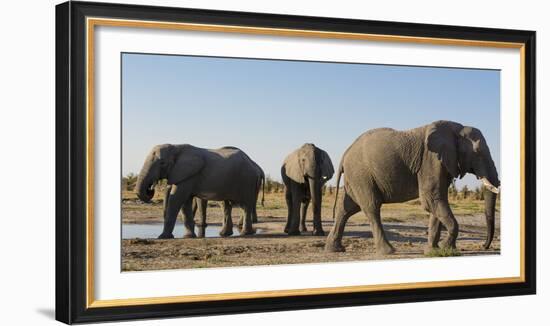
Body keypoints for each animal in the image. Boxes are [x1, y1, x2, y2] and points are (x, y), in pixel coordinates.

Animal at [326, 120, 502, 255]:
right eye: (477, 152)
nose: (484, 246)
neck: (456, 128)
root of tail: (345, 153)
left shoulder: (441, 163)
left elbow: (436, 202)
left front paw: (433, 251)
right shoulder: (431, 160)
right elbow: (431, 200)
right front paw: (447, 249)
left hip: (356, 177)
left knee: (347, 208)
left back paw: (335, 249)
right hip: (361, 175)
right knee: (371, 207)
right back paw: (389, 251)